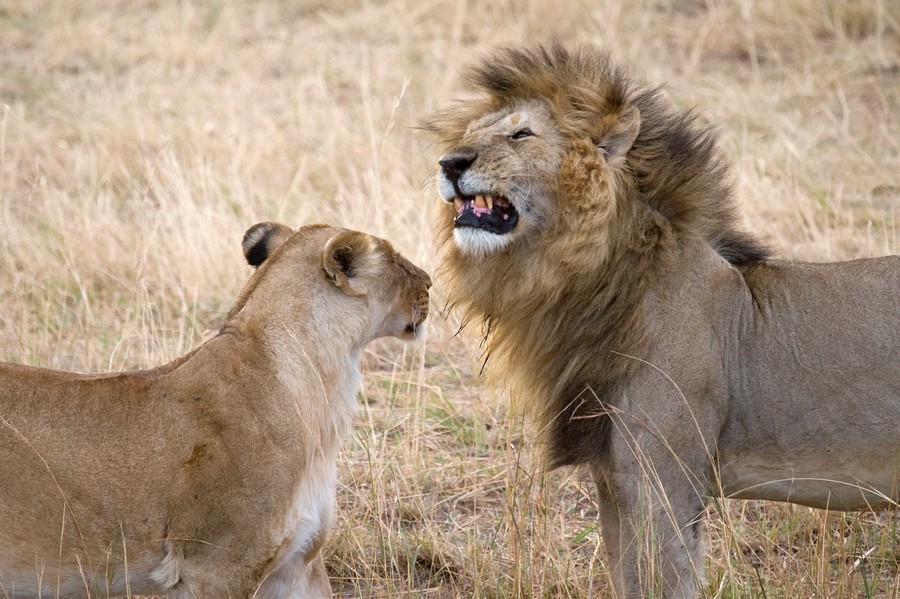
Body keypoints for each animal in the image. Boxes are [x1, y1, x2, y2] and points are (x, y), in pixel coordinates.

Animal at [428, 43, 900, 599]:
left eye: (521, 134)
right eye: (468, 135)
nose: (450, 162)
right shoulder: (613, 478)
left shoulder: (665, 481)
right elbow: (627, 577)